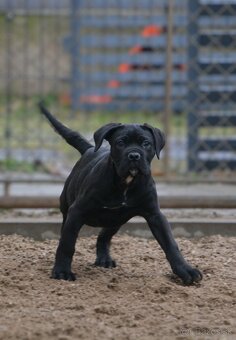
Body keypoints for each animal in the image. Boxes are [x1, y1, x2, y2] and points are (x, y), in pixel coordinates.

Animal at [39, 103, 203, 284]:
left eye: (146, 143)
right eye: (120, 142)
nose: (134, 155)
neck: (126, 182)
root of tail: (90, 148)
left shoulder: (155, 215)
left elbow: (170, 244)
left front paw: (186, 270)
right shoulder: (76, 212)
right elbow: (67, 243)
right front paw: (62, 271)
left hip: (116, 220)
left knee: (103, 237)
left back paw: (104, 259)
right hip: (69, 209)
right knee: (68, 234)